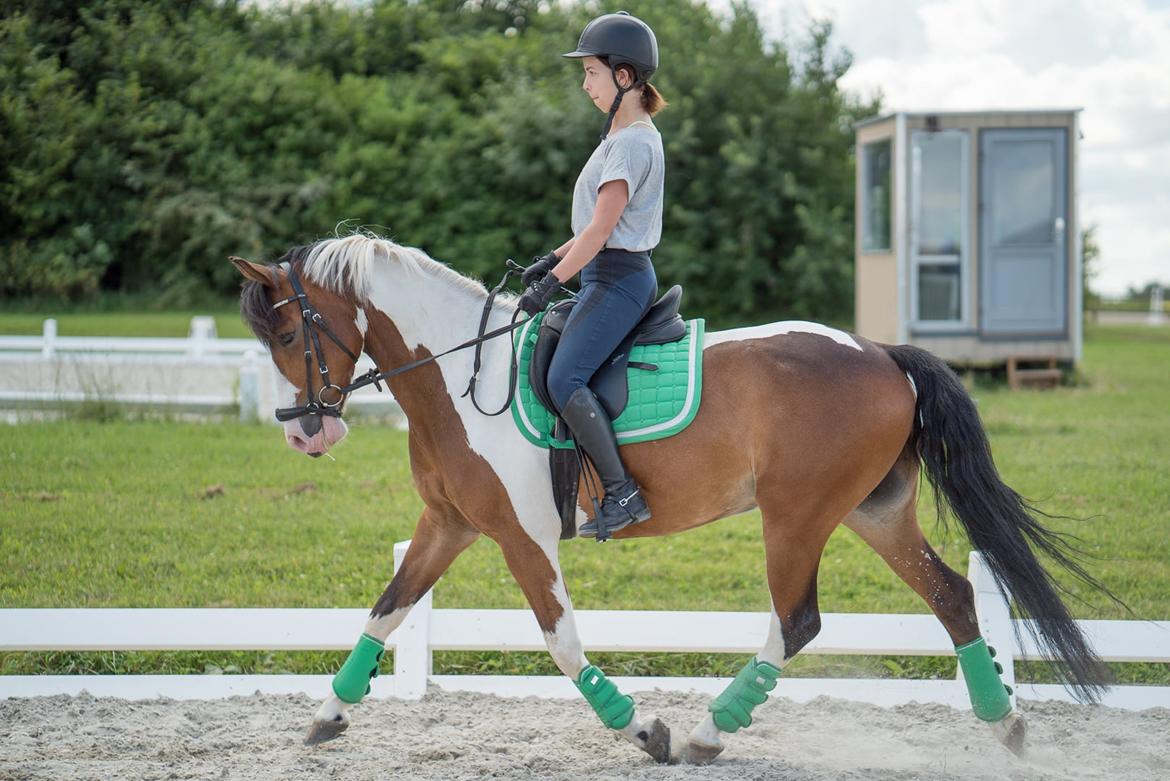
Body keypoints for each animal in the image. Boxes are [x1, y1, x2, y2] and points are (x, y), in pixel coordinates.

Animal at [230, 231, 1113, 762]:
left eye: (288, 333)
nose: (305, 435)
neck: (457, 375)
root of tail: (881, 351)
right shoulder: (448, 524)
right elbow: (386, 609)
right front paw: (328, 714)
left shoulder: (522, 536)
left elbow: (560, 640)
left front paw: (642, 726)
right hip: (874, 511)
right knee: (953, 593)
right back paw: (1006, 724)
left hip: (797, 515)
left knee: (798, 620)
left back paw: (703, 733)